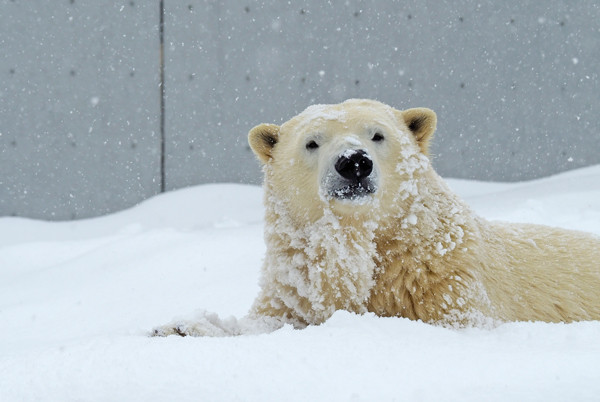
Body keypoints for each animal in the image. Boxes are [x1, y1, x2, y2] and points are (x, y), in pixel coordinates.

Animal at [152, 99, 600, 336]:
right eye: (312, 142)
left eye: (377, 134)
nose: (354, 162)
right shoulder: (299, 281)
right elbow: (271, 319)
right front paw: (180, 327)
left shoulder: (446, 279)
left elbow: (459, 322)